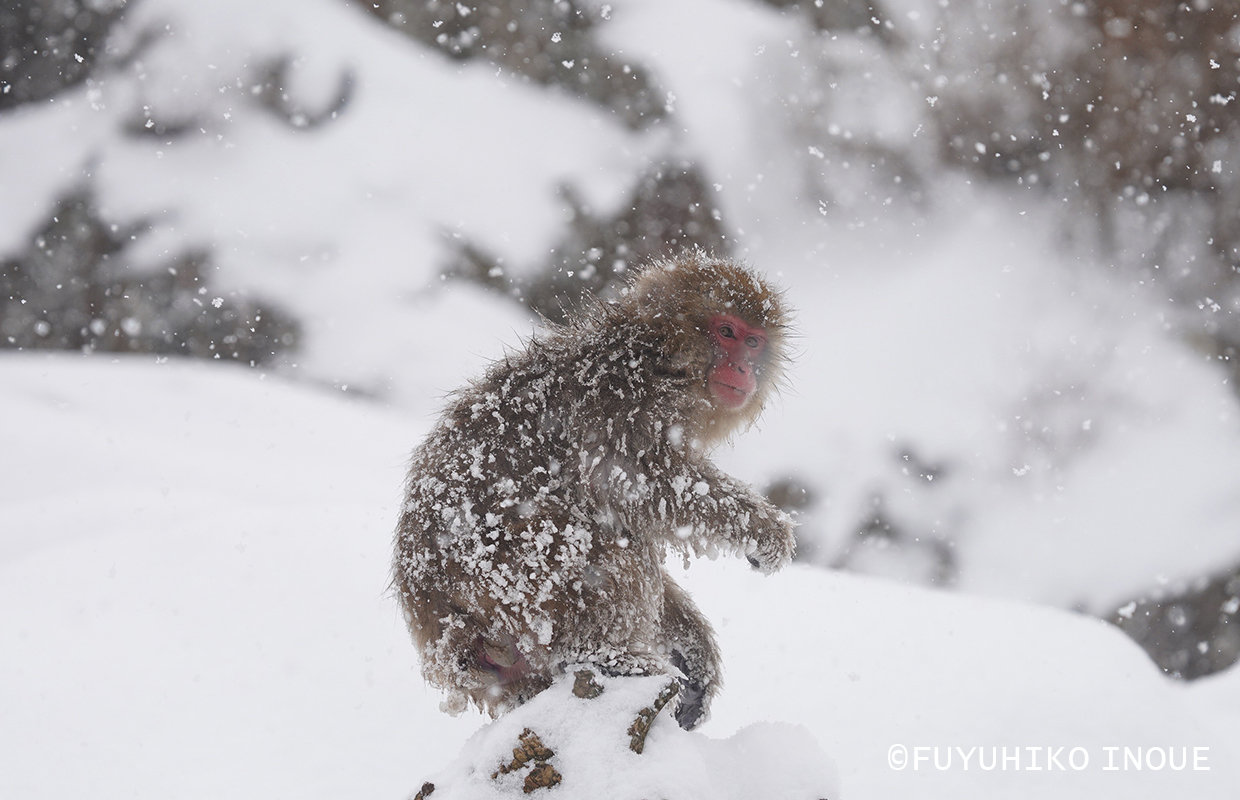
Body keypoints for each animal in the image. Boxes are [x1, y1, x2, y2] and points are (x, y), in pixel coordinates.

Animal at [391, 253, 793, 729]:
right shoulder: (616, 405)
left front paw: (694, 653)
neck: (655, 358)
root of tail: (440, 631)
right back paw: (597, 654)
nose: (746, 369)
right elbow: (639, 484)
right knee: (588, 544)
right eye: (725, 331)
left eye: (753, 342)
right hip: (500, 575)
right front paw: (764, 530)